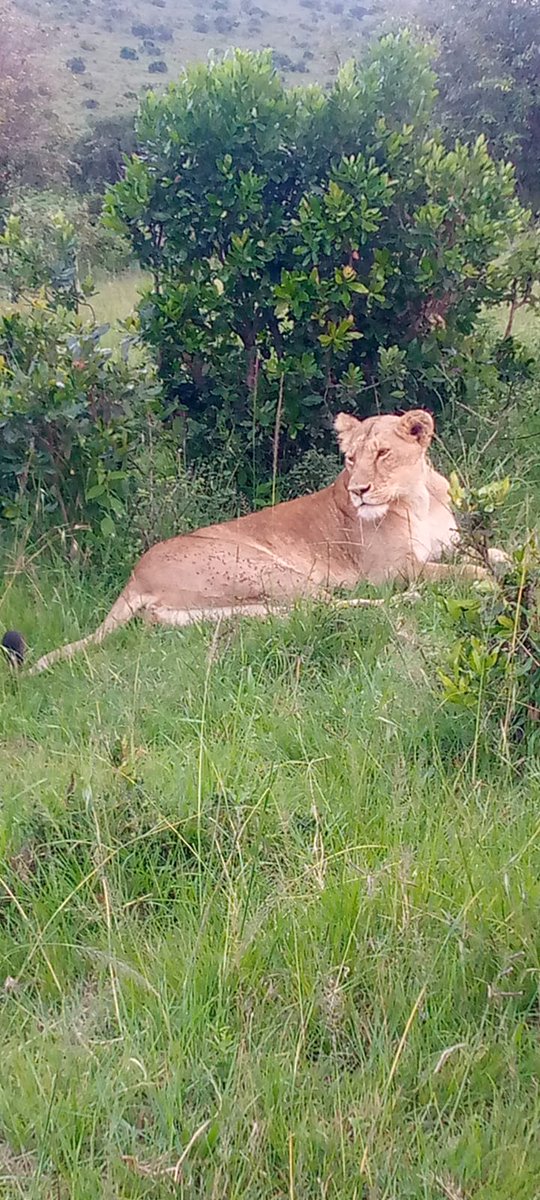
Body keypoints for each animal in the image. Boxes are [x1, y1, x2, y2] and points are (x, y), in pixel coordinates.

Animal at [4, 410, 504, 676]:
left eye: (382, 454)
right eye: (349, 459)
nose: (359, 491)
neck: (417, 495)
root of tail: (136, 575)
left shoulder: (446, 544)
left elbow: (492, 551)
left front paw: (509, 561)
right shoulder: (393, 570)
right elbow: (465, 570)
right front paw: (488, 582)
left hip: (227, 604)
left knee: (291, 613)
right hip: (268, 567)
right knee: (330, 606)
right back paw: (409, 601)